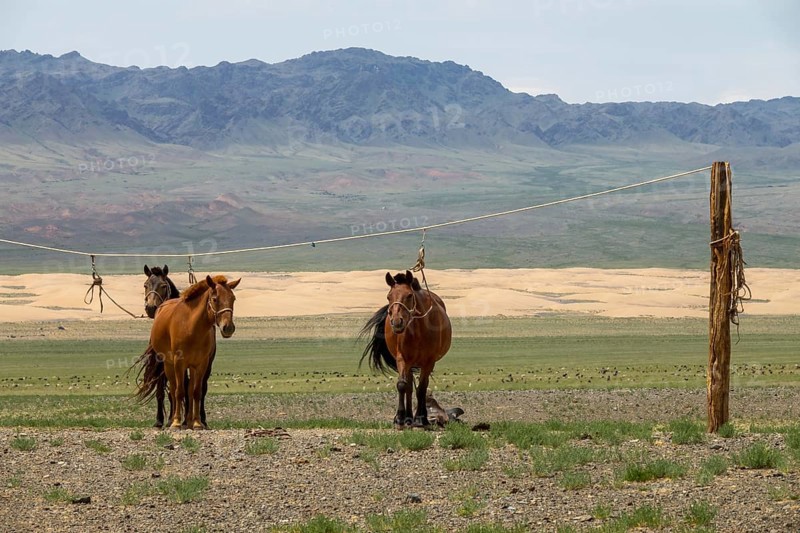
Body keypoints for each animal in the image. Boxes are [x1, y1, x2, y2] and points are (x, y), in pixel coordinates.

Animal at [135, 274, 240, 430]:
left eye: (233, 298)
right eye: (215, 299)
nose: (228, 328)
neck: (192, 327)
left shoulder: (201, 364)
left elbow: (196, 392)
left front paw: (196, 422)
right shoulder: (179, 363)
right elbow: (179, 392)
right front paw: (176, 422)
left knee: (189, 390)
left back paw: (189, 420)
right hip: (168, 364)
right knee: (173, 389)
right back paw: (172, 420)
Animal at [360, 270, 452, 429]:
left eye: (409, 295)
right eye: (388, 296)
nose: (397, 322)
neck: (419, 331)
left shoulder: (429, 362)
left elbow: (421, 389)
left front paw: (420, 418)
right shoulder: (402, 358)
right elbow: (403, 385)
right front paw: (400, 418)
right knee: (408, 387)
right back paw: (408, 417)